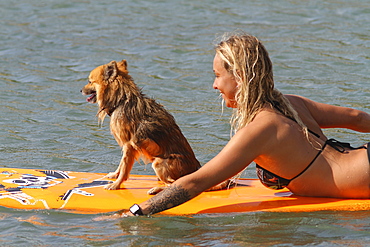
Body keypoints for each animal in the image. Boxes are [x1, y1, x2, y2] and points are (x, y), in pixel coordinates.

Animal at [80, 60, 204, 194]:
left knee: (173, 184)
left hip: (158, 163)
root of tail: (197, 168)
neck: (121, 100)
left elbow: (124, 167)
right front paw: (114, 175)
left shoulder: (129, 145)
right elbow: (121, 164)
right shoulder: (126, 145)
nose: (80, 90)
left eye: (90, 81)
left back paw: (156, 189)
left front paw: (116, 185)